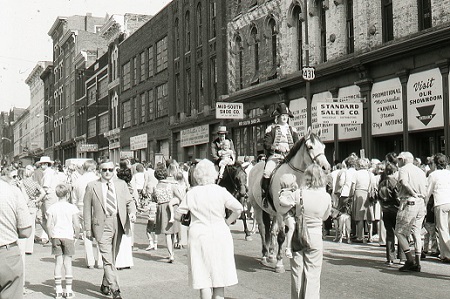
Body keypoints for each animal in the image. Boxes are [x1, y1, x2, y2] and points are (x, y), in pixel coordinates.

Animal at [246, 127, 330, 274]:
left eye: (323, 147)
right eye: (310, 146)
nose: (326, 168)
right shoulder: (281, 212)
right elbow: (281, 236)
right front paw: (280, 264)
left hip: (272, 212)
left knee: (271, 231)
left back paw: (271, 255)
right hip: (257, 207)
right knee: (262, 228)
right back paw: (264, 255)